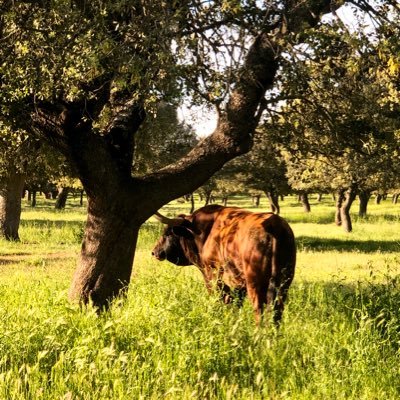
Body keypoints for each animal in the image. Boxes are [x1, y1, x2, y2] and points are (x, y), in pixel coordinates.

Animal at [152, 205, 296, 324]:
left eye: (167, 233)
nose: (154, 252)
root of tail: (275, 226)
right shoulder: (238, 284)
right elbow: (235, 305)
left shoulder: (213, 276)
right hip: (283, 283)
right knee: (277, 311)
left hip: (255, 283)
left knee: (258, 310)